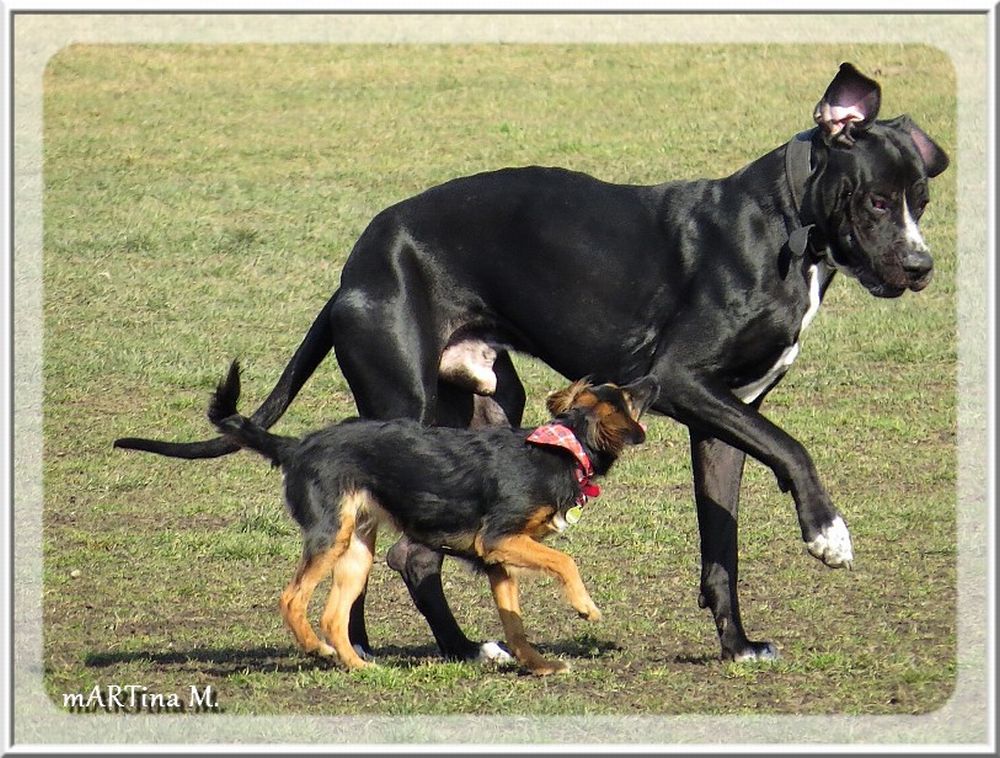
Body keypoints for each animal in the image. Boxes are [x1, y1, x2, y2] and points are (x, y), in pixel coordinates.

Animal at [208, 362, 660, 676]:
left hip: (356, 549)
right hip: (330, 535)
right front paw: (586, 608)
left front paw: (539, 665)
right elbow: (565, 561)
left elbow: (514, 624)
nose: (654, 379)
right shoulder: (498, 539)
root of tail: (295, 446)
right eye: (627, 395)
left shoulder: (498, 559)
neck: (563, 448)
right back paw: (316, 648)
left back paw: (358, 666)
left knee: (333, 616)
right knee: (292, 599)